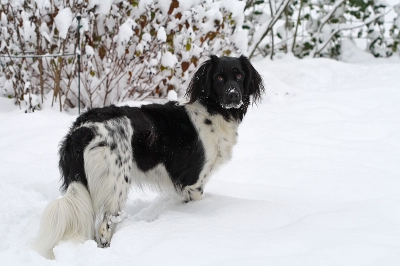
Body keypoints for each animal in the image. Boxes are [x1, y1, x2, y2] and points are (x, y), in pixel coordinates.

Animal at [32, 54, 264, 258]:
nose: (233, 95)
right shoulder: (194, 181)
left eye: (239, 75)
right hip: (116, 186)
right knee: (104, 228)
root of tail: (83, 128)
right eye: (219, 78)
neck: (213, 111)